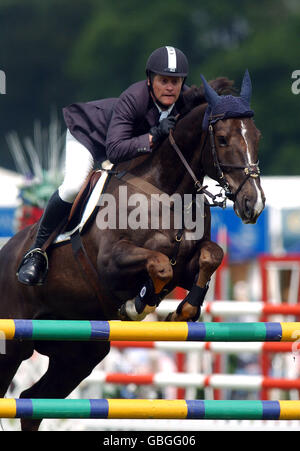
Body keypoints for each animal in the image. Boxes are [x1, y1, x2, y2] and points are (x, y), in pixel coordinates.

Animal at [0, 72, 264, 432]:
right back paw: (32, 266)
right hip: (12, 344)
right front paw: (138, 303)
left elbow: (211, 256)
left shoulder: (188, 265)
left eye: (257, 136)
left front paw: (182, 311)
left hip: (78, 353)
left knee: (31, 401)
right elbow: (160, 264)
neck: (169, 192)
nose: (254, 204)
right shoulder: (111, 263)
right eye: (222, 139)